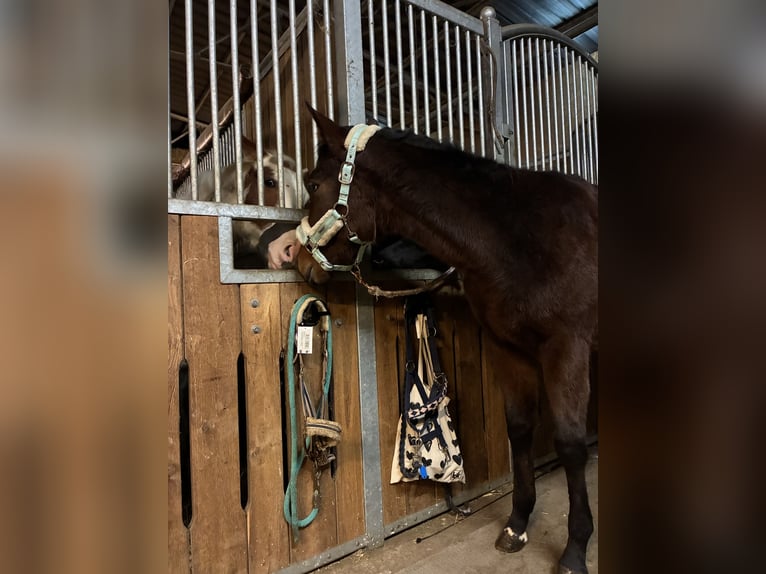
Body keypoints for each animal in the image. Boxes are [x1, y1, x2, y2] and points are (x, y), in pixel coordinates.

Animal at [295, 108, 597, 574]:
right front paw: (516, 525)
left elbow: (570, 443)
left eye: (312, 183)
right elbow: (520, 429)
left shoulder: (567, 349)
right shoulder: (508, 349)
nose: (299, 261)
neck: (517, 237)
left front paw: (575, 548)